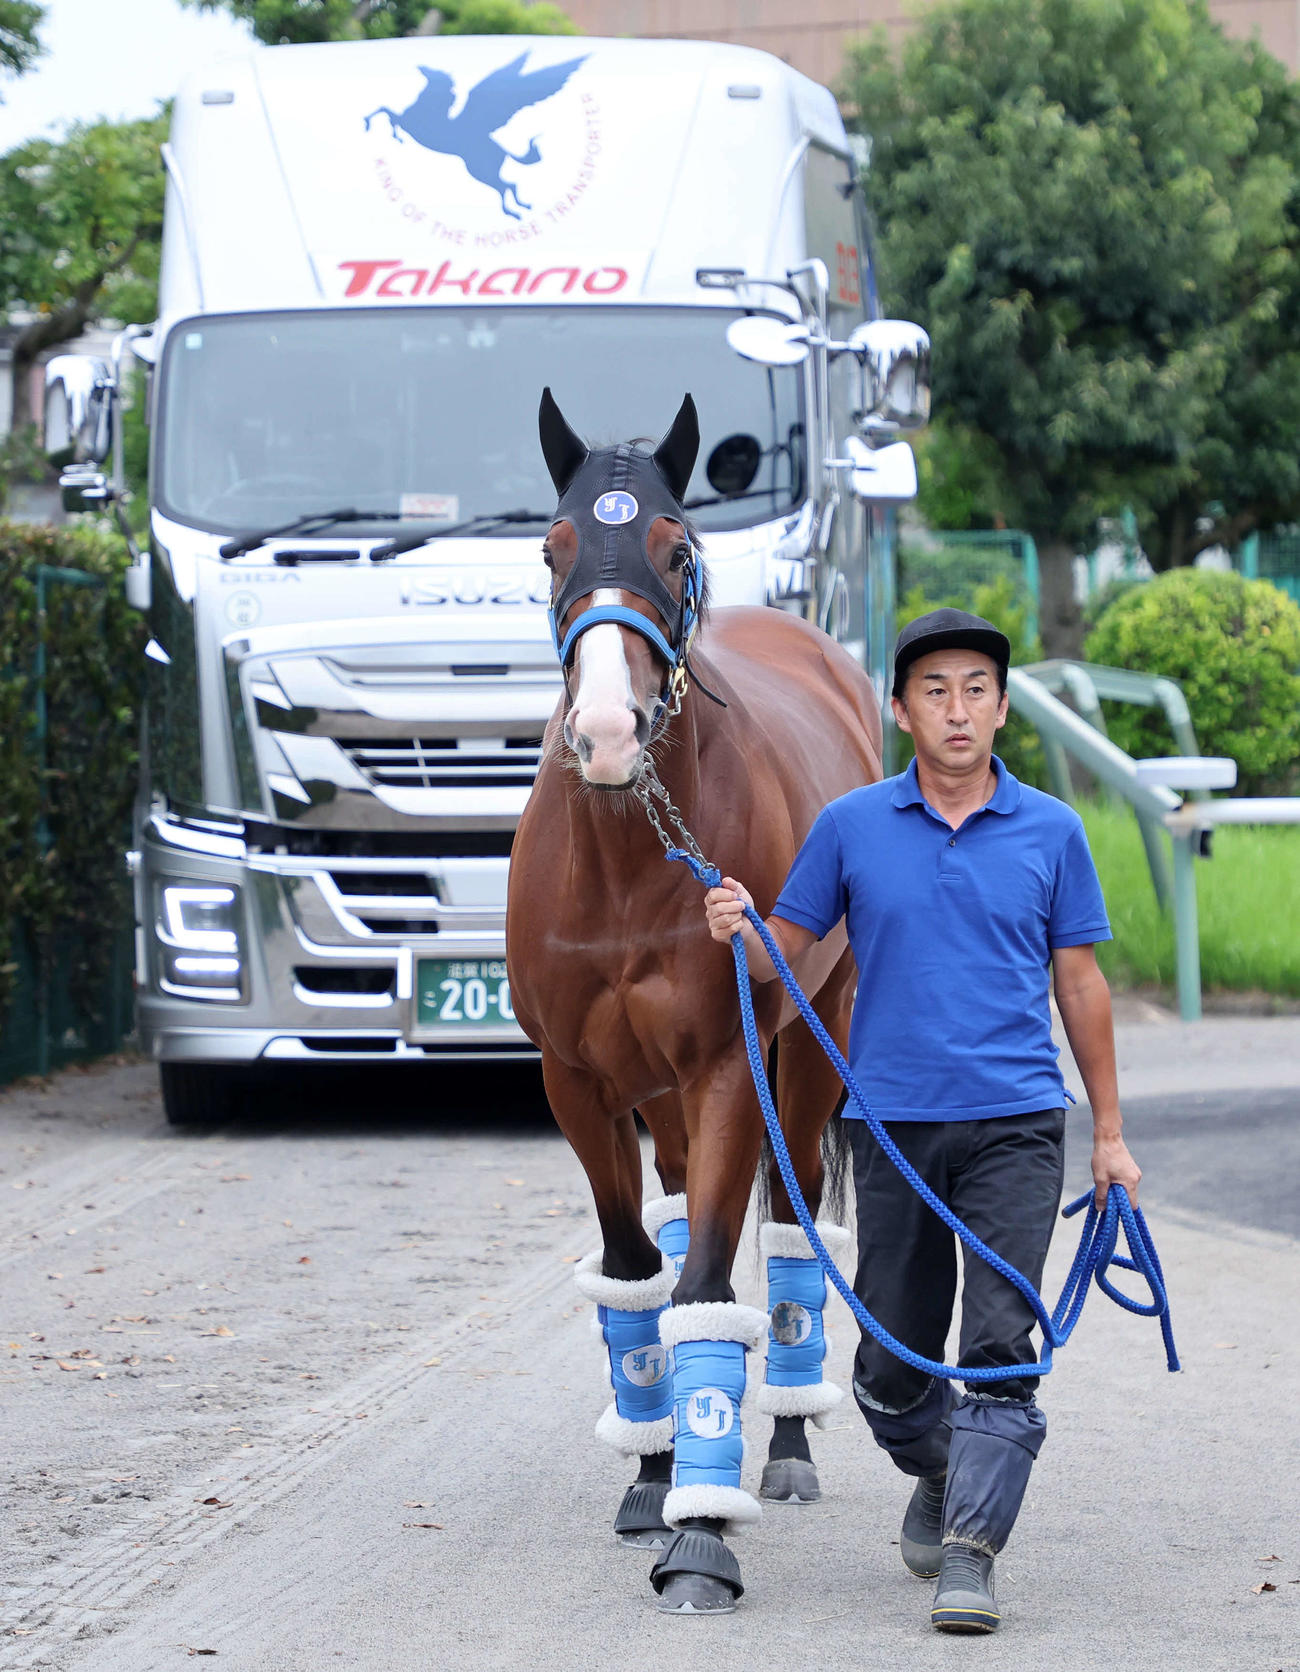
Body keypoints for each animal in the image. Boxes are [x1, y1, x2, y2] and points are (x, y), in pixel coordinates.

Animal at [505, 389, 883, 1613]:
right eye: (552, 547)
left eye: (675, 552)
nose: (608, 732)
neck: (633, 856)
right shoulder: (577, 1083)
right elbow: (635, 1276)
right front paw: (652, 1473)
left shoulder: (728, 1064)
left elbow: (711, 1279)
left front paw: (702, 1532)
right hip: (656, 1092)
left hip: (808, 1049)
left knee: (794, 1227)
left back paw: (787, 1450)